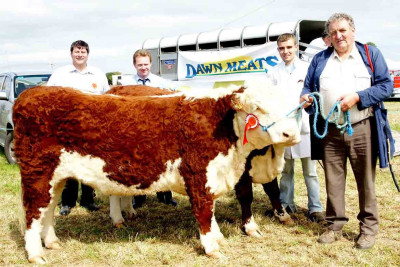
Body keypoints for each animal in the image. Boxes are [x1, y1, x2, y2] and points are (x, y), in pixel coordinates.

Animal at [14, 80, 300, 264]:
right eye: (257, 107)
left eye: (291, 106)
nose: (291, 133)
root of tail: (29, 94)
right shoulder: (198, 173)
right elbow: (204, 210)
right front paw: (211, 247)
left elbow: (212, 210)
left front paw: (219, 238)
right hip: (37, 172)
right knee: (33, 212)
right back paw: (35, 253)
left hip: (55, 177)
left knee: (48, 208)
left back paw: (51, 241)